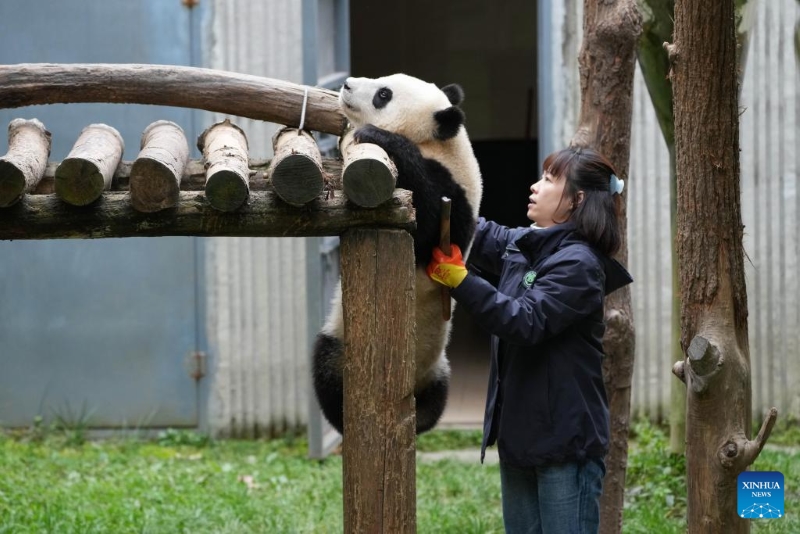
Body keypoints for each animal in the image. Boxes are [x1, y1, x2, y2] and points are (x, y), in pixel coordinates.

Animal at [312, 73, 483, 434]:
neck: (439, 145)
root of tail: (415, 389)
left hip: (433, 365)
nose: (347, 84)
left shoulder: (454, 197)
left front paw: (375, 135)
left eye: (383, 95)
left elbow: (428, 227)